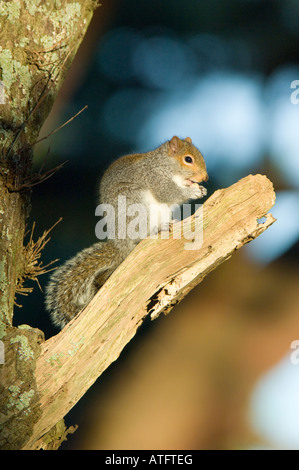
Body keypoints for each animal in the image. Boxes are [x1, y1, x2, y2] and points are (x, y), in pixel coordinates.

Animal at [45, 135, 209, 326]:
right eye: (188, 159)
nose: (205, 177)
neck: (164, 164)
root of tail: (121, 244)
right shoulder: (154, 177)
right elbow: (168, 193)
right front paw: (193, 191)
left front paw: (201, 189)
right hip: (134, 204)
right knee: (139, 235)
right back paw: (156, 229)